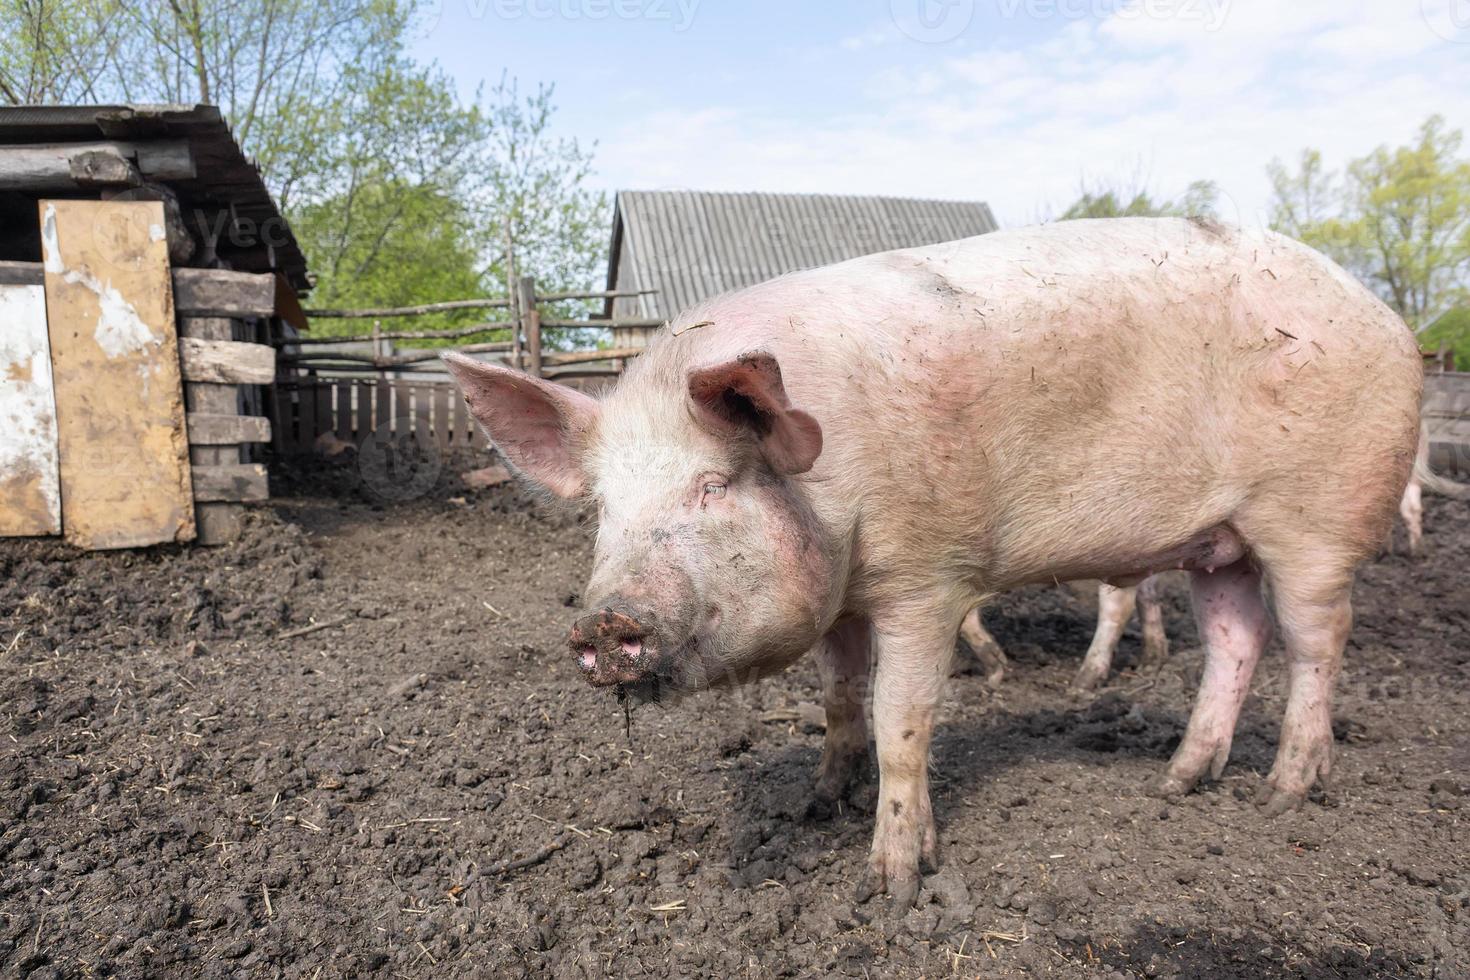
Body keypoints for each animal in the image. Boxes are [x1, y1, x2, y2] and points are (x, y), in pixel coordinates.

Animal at [443, 218, 1422, 910]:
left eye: (715, 485)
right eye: (605, 508)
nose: (606, 618)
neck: (828, 493)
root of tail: (1392, 321)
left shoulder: (928, 578)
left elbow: (898, 716)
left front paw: (891, 885)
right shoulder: (841, 600)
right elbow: (838, 699)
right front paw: (816, 804)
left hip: (1315, 520)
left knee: (1317, 641)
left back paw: (1281, 797)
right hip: (1219, 540)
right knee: (1234, 637)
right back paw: (1180, 780)